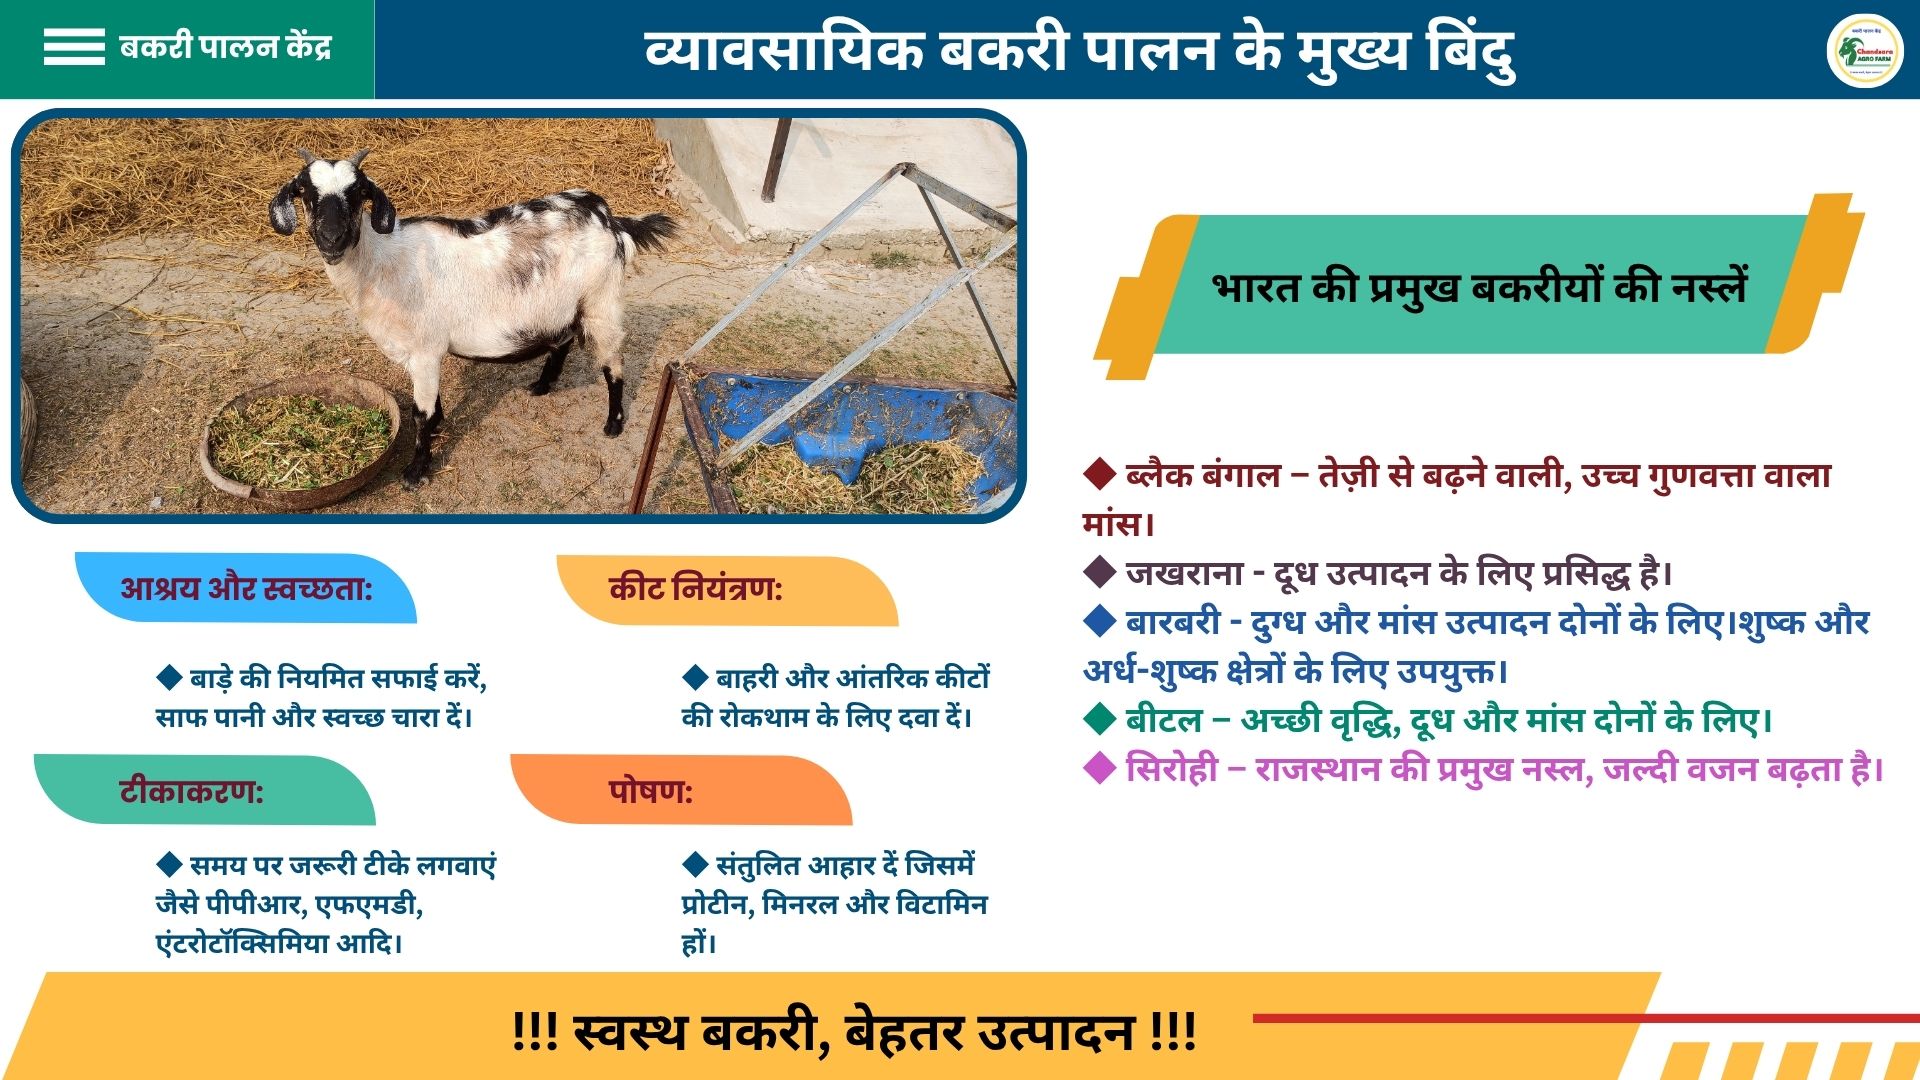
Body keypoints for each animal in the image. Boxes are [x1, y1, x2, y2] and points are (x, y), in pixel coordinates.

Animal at [268, 148, 675, 488]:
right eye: (306, 192)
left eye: (357, 193)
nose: (332, 238)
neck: (382, 266)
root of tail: (609, 218)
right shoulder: (419, 354)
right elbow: (429, 405)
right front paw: (437, 427)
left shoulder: (426, 350)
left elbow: (419, 413)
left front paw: (416, 471)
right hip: (558, 307)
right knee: (562, 339)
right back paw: (542, 385)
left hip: (601, 300)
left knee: (613, 363)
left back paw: (613, 423)